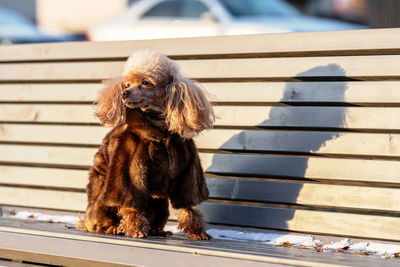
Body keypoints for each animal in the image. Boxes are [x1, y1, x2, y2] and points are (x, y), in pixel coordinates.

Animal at [78, 50, 216, 241]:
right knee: (99, 222)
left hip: (158, 203)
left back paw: (156, 229)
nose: (124, 93)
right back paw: (114, 227)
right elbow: (131, 207)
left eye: (145, 82)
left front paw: (197, 231)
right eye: (127, 84)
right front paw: (136, 229)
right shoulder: (130, 175)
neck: (159, 130)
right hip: (102, 199)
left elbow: (188, 207)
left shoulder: (186, 175)